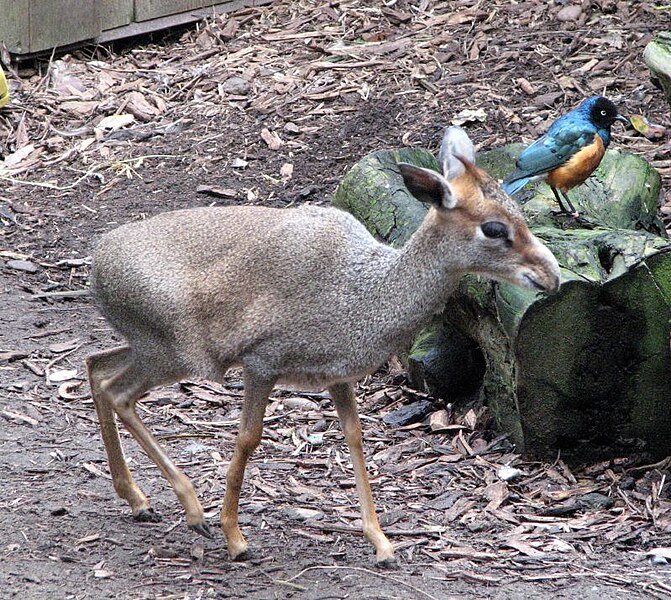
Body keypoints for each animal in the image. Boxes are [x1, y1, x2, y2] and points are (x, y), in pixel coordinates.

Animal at [88, 126, 560, 568]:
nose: (552, 275)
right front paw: (235, 537)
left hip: (150, 350)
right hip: (177, 354)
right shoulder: (262, 363)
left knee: (96, 367)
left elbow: (354, 436)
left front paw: (382, 543)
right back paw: (191, 510)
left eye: (518, 209)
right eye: (494, 228)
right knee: (118, 391)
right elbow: (248, 438)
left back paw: (138, 499)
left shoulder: (337, 376)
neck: (361, 289)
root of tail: (96, 263)